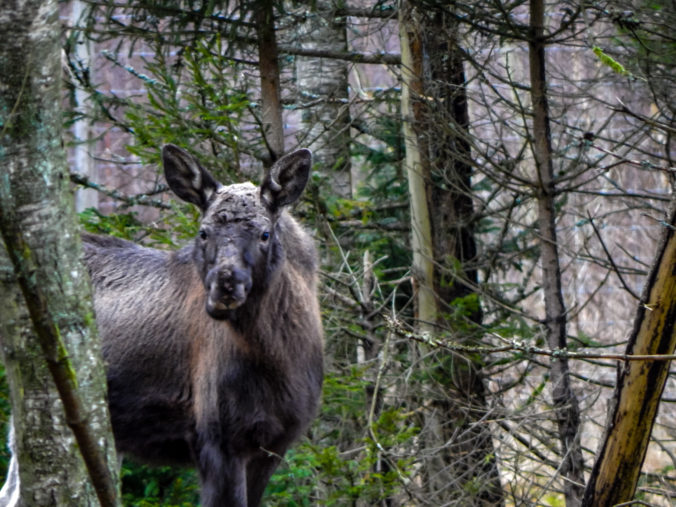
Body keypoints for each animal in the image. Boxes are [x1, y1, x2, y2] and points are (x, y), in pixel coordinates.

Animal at [1, 145, 324, 507]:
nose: (225, 287)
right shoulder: (216, 439)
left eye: (265, 233)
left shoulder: (273, 446)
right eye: (203, 232)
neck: (280, 359)